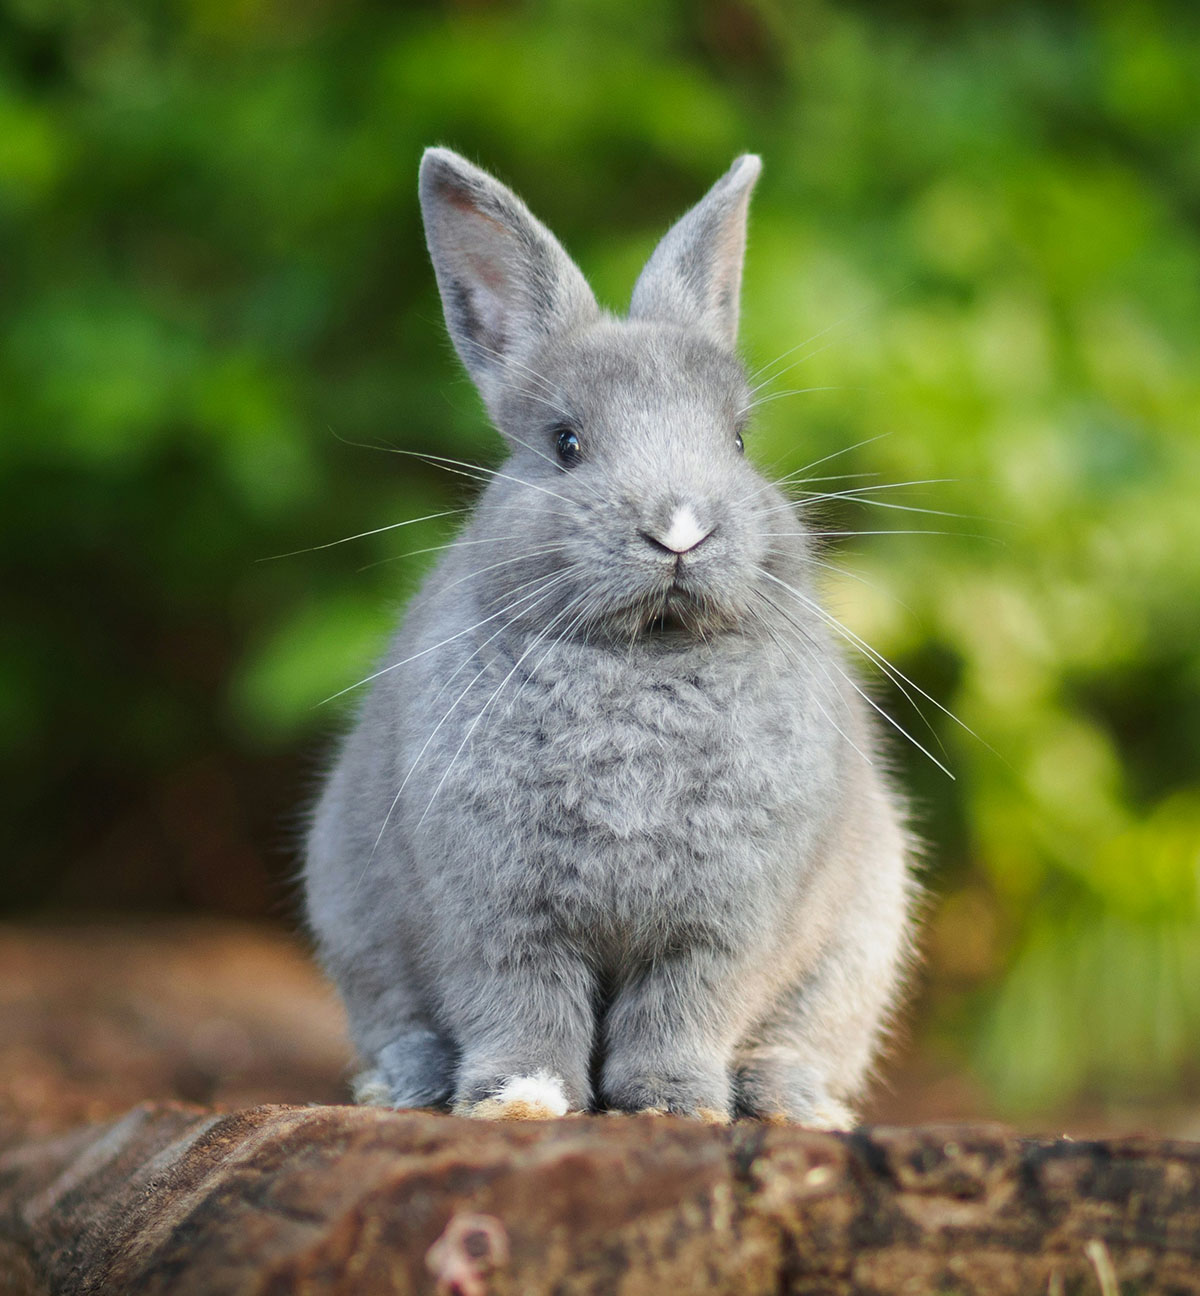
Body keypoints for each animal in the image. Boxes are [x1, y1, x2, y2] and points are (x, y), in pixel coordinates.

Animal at [303, 146, 916, 1127]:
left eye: (739, 441)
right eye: (566, 443)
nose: (679, 529)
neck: (645, 656)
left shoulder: (721, 929)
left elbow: (682, 1010)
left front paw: (674, 1105)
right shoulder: (498, 919)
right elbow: (521, 1006)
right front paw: (521, 1100)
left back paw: (794, 1104)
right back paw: (403, 1087)